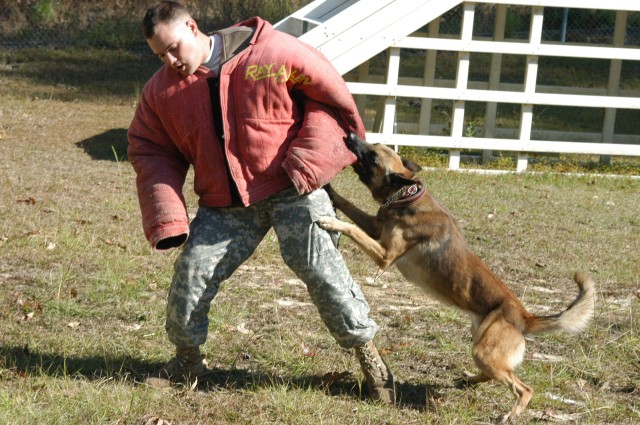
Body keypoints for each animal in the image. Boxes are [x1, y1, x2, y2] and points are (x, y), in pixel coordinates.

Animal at [318, 132, 596, 420]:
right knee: (493, 375)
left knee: (523, 388)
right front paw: (330, 191)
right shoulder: (375, 227)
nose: (350, 135)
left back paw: (510, 414)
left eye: (372, 155)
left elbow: (352, 227)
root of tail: (524, 316)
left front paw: (331, 222)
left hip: (485, 351)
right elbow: (349, 205)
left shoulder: (384, 255)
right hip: (480, 343)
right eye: (372, 145)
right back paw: (468, 380)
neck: (406, 197)